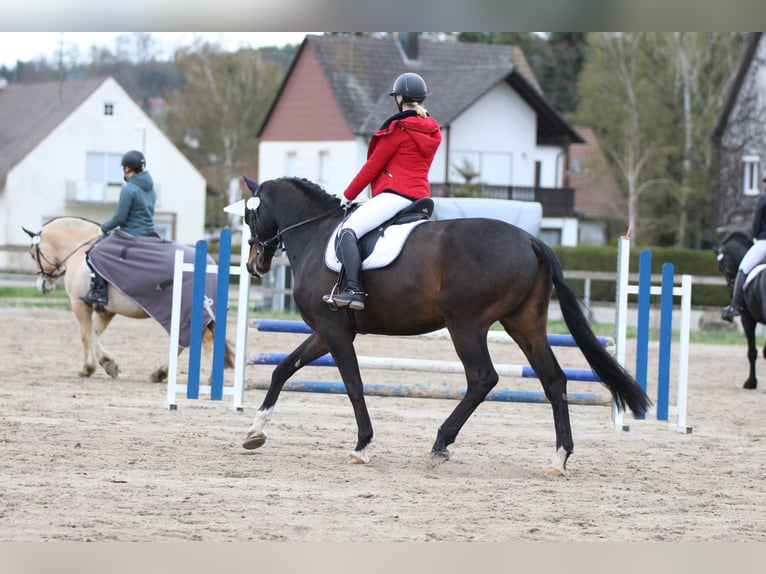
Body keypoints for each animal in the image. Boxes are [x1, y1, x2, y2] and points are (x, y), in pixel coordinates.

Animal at [24, 218, 234, 384]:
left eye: (34, 254)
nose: (43, 285)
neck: (80, 248)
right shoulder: (107, 311)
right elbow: (94, 333)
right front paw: (108, 363)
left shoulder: (80, 304)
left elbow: (85, 335)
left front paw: (87, 368)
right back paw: (159, 373)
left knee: (201, 341)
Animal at [240, 177, 648, 476]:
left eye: (249, 216)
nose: (253, 265)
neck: (315, 233)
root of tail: (531, 240)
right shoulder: (326, 332)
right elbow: (282, 368)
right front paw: (256, 430)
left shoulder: (335, 331)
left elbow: (353, 385)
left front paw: (362, 445)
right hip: (524, 323)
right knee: (553, 380)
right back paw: (559, 457)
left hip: (465, 324)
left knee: (483, 378)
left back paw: (441, 442)